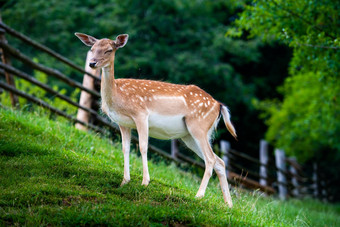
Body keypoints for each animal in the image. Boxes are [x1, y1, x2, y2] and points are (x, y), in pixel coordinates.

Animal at [75, 31, 236, 207]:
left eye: (109, 50)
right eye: (92, 48)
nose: (92, 63)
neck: (118, 96)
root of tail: (219, 105)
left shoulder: (141, 114)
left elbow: (143, 147)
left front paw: (145, 182)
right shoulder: (123, 123)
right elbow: (125, 148)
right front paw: (124, 181)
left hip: (199, 125)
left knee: (210, 159)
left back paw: (199, 195)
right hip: (190, 135)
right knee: (219, 161)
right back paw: (229, 205)